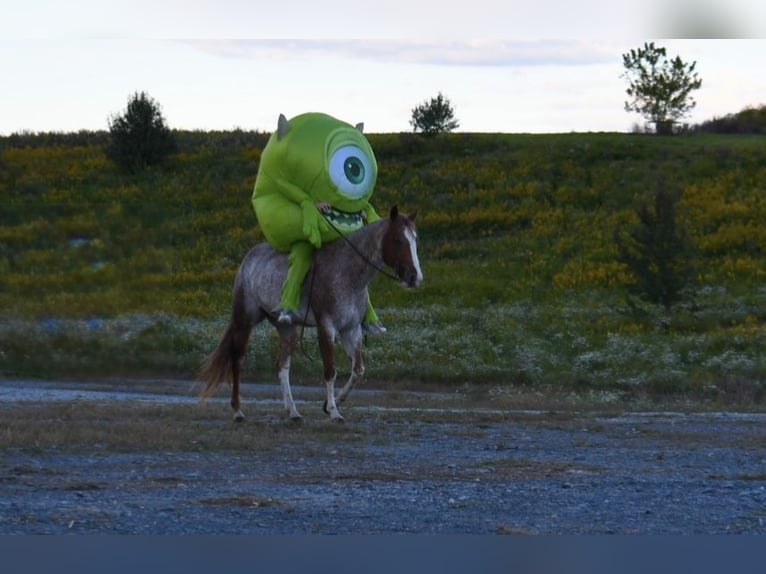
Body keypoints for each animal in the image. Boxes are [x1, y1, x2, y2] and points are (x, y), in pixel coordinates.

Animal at [198, 205, 423, 423]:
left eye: (415, 240)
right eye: (398, 240)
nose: (415, 277)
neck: (346, 274)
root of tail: (249, 259)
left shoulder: (351, 330)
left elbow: (358, 370)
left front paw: (333, 402)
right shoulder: (326, 327)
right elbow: (330, 371)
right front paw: (333, 411)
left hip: (288, 328)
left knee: (282, 366)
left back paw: (293, 412)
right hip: (244, 321)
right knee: (237, 361)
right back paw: (238, 411)